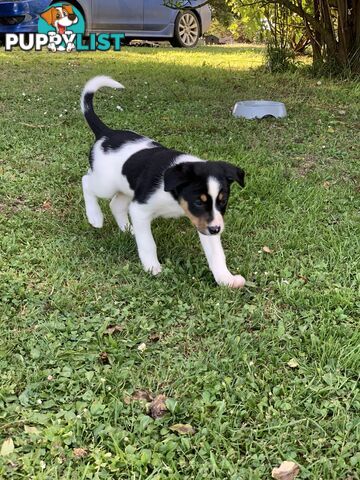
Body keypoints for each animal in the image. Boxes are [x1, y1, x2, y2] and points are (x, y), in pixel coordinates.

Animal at [80, 76, 246, 286]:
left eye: (223, 201)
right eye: (198, 201)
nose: (217, 229)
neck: (174, 196)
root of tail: (106, 133)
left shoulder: (205, 223)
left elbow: (216, 255)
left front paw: (226, 279)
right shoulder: (141, 209)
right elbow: (148, 243)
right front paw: (152, 268)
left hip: (127, 188)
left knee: (115, 204)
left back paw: (128, 229)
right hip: (105, 184)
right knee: (86, 181)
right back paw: (95, 217)